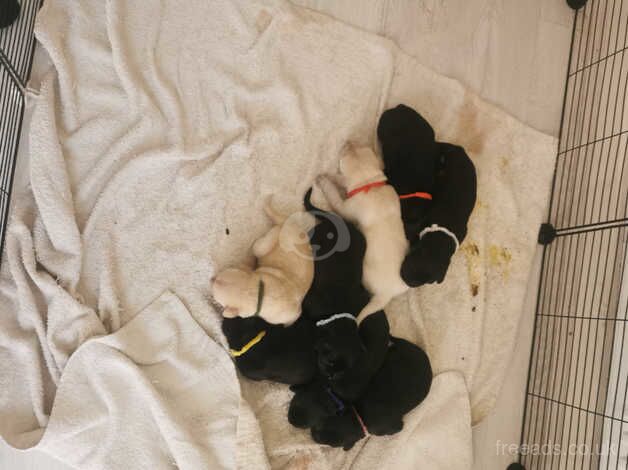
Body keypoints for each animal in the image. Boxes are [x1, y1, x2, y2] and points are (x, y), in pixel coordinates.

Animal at [316, 146, 410, 324]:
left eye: (344, 154)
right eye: (357, 147)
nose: (347, 143)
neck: (369, 184)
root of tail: (386, 295)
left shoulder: (346, 208)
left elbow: (336, 196)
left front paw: (324, 181)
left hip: (365, 275)